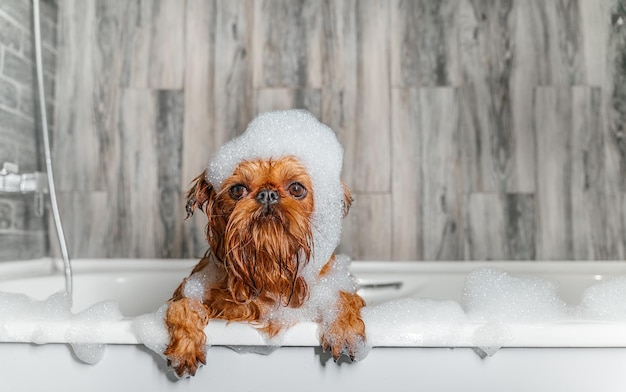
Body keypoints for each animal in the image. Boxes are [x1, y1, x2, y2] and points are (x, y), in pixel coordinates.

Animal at [163, 109, 366, 376]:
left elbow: (343, 296)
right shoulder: (194, 287)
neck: (267, 271)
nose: (268, 194)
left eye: (296, 188)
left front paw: (345, 329)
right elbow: (181, 306)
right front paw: (184, 346)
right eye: (237, 190)